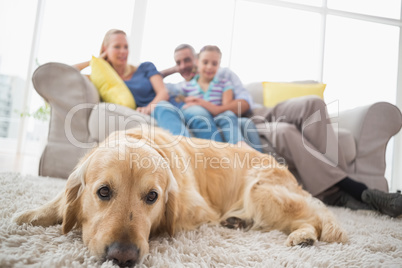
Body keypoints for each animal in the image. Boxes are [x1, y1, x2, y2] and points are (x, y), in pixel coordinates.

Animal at [14, 126, 348, 266]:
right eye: (103, 191)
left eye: (152, 197)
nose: (123, 256)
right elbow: (58, 202)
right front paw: (29, 216)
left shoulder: (198, 210)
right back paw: (238, 222)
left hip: (262, 192)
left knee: (316, 217)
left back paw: (304, 236)